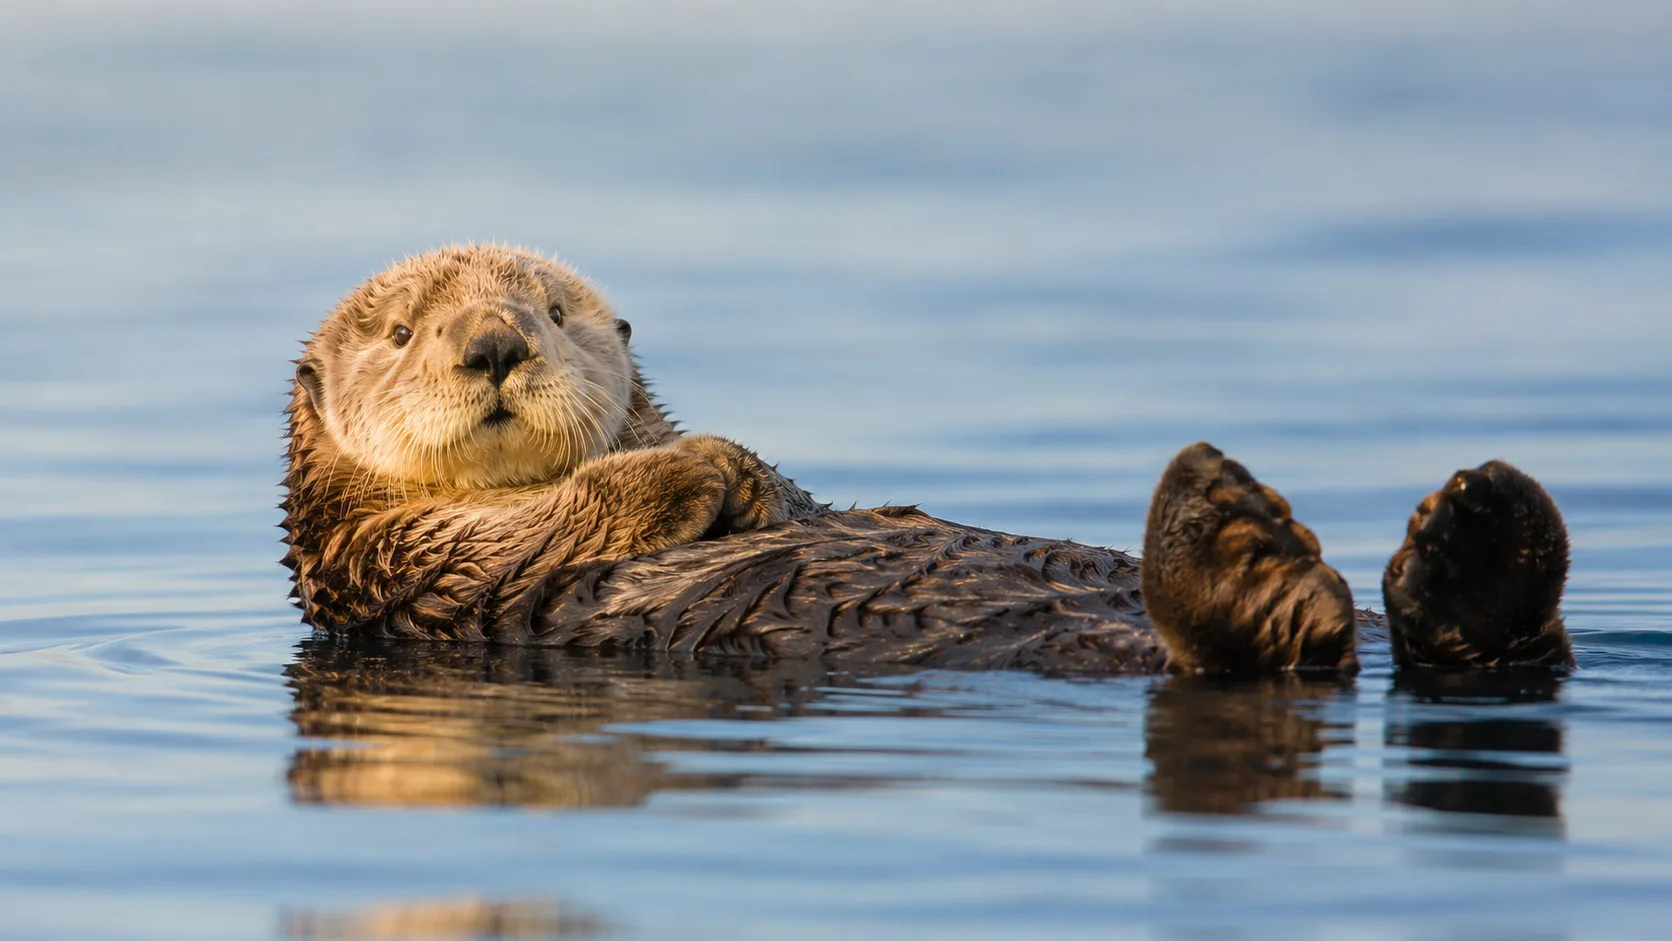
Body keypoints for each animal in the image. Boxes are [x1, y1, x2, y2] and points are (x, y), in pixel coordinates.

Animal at [282, 244, 1571, 675]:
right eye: (404, 334)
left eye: (551, 312)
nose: (493, 344)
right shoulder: (400, 554)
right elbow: (558, 517)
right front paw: (715, 466)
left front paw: (749, 473)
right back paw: (1229, 527)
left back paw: (1482, 530)